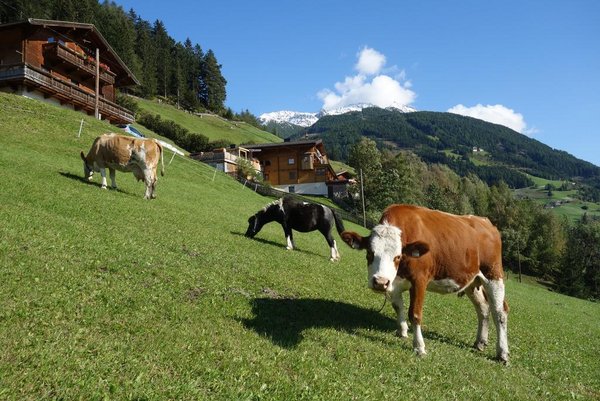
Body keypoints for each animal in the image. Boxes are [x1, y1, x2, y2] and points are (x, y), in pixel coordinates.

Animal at [340, 205, 508, 360]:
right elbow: (398, 306)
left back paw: (502, 353)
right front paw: (402, 331)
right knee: (483, 308)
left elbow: (415, 314)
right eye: (370, 253)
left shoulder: (419, 280)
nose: (380, 282)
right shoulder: (394, 283)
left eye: (398, 256)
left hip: (493, 275)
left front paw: (419, 347)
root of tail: (485, 221)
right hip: (472, 281)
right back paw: (480, 342)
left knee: (500, 312)